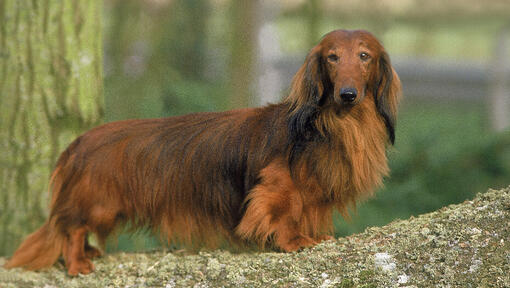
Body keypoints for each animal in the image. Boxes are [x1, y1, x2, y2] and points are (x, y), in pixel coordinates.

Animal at [4, 29, 402, 274]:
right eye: (332, 57)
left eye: (364, 56)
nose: (347, 94)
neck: (337, 124)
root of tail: (78, 144)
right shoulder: (277, 186)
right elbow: (283, 212)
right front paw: (292, 242)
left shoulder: (315, 195)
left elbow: (309, 213)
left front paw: (314, 236)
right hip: (98, 202)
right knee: (71, 229)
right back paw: (77, 263)